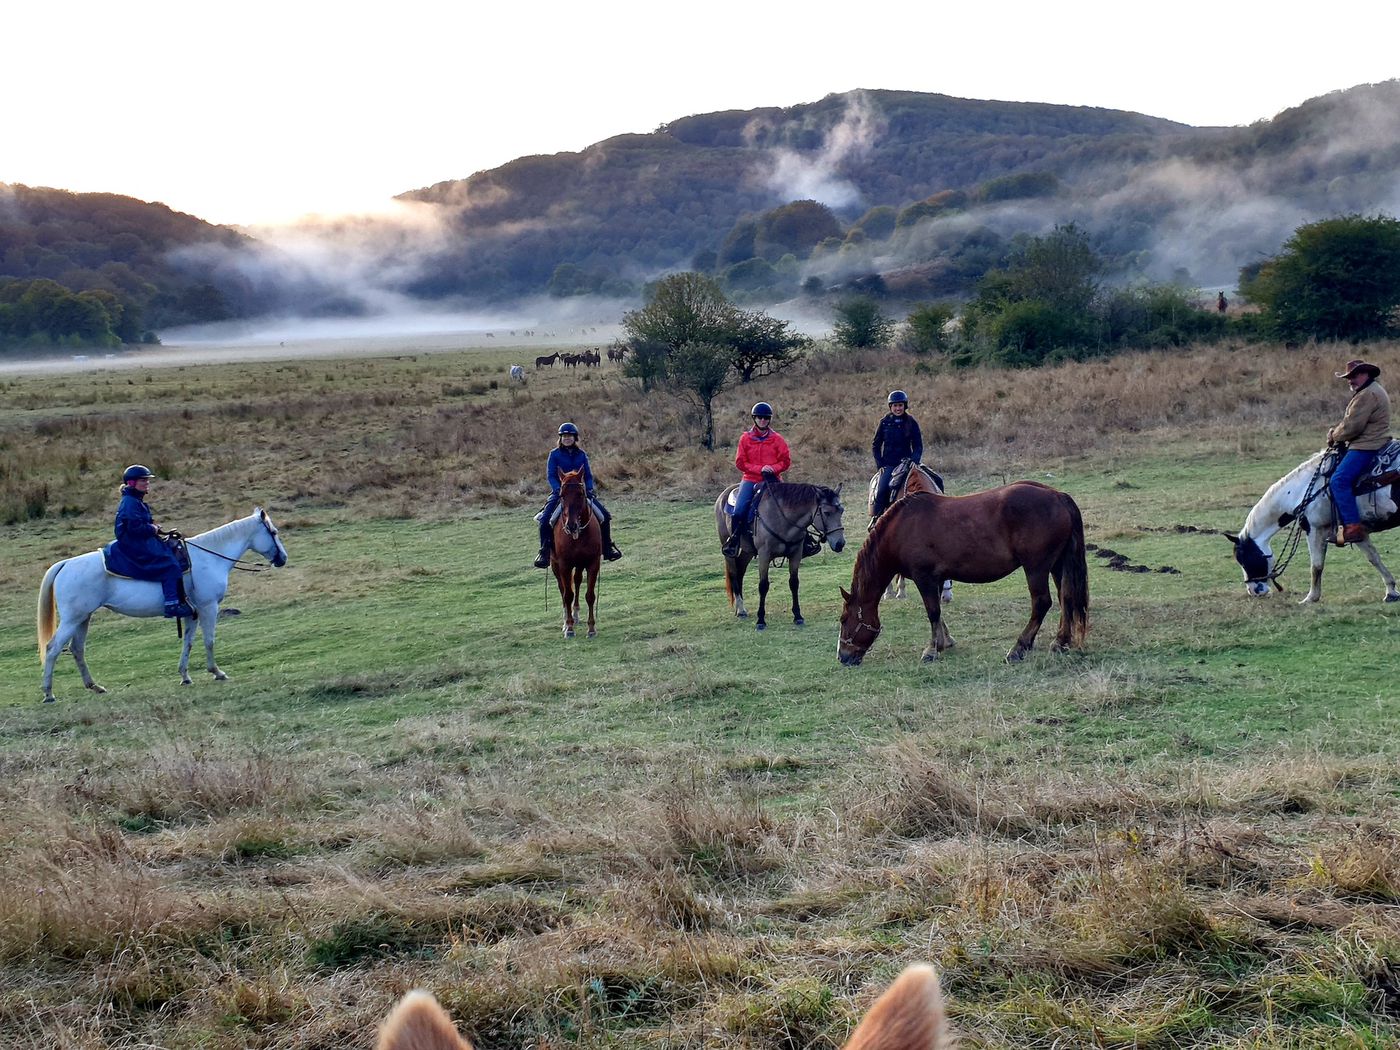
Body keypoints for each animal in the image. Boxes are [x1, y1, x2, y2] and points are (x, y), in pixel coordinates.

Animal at [36, 506, 287, 702]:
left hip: (83, 618)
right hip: (72, 619)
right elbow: (209, 641)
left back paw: (95, 686)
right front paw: (217, 672)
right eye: (273, 532)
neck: (209, 558)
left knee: (77, 649)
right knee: (53, 648)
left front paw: (185, 676)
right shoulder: (208, 607)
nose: (282, 559)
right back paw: (48, 693)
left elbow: (188, 642)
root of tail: (65, 564)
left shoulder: (192, 612)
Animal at [548, 470, 599, 638]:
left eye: (581, 494)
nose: (571, 525)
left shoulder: (593, 563)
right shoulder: (564, 565)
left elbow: (590, 595)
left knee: (576, 581)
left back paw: (575, 615)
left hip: (579, 564)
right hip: (555, 565)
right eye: (561, 495)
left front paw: (591, 629)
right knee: (563, 589)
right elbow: (567, 595)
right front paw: (569, 628)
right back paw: (566, 622)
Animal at [716, 484, 845, 632]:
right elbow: (763, 586)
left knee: (740, 572)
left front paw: (798, 616)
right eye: (827, 512)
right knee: (733, 573)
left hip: (747, 551)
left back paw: (740, 608)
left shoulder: (795, 555)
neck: (782, 519)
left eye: (841, 511)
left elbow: (794, 583)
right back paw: (741, 609)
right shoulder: (764, 555)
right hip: (728, 549)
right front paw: (760, 620)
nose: (840, 543)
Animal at [834, 484, 1086, 666]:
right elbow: (938, 613)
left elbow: (933, 612)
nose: (842, 656)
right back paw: (1060, 642)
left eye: (844, 620)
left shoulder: (924, 577)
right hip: (1057, 565)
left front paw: (932, 650)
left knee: (1042, 603)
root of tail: (1057, 496)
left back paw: (1019, 648)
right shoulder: (934, 580)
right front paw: (944, 642)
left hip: (1036, 567)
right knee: (1066, 598)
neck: (902, 529)